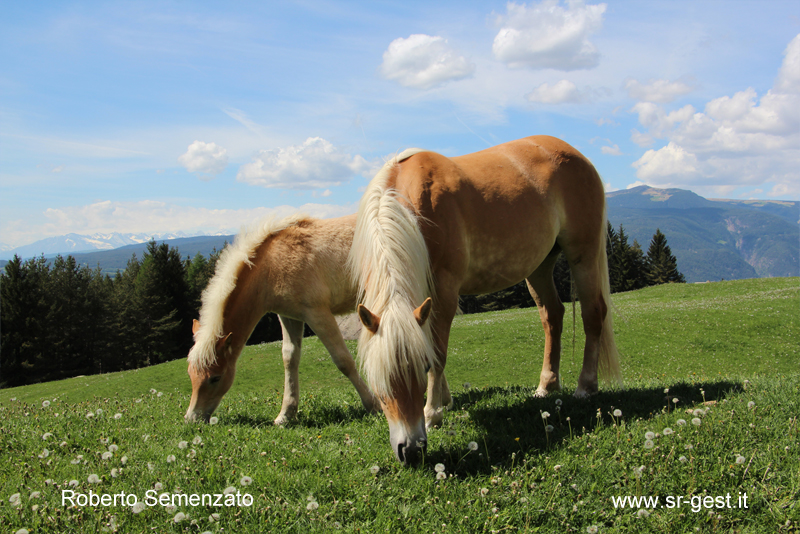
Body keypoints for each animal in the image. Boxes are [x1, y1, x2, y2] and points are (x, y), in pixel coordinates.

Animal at [185, 214, 381, 425]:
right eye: (190, 374)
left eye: (215, 377)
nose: (192, 418)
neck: (272, 265)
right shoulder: (289, 316)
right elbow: (290, 358)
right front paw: (286, 415)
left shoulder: (317, 313)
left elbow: (343, 360)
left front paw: (373, 405)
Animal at [349, 136, 623, 464]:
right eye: (378, 381)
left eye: (421, 369)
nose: (412, 450)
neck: (410, 207)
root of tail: (575, 153)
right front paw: (445, 400)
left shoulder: (445, 290)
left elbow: (438, 351)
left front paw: (432, 412)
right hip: (540, 265)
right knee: (552, 315)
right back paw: (547, 385)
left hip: (584, 253)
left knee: (593, 313)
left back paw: (586, 386)